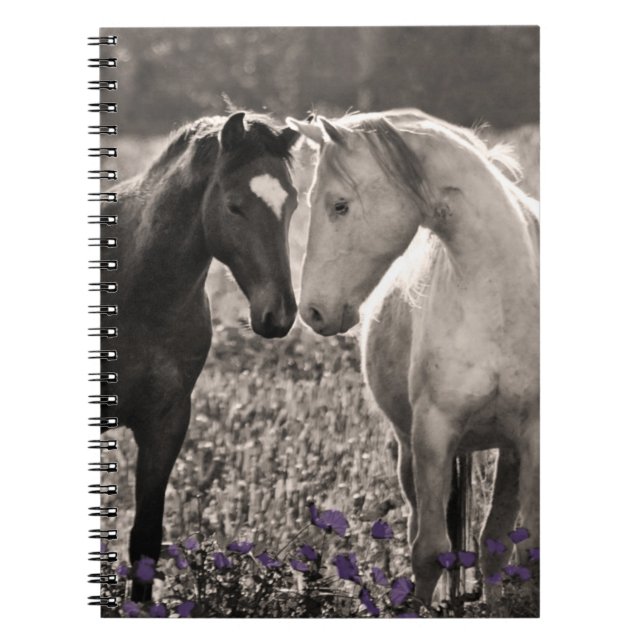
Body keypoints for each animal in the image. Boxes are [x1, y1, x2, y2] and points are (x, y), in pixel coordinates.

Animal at [286, 110, 539, 607]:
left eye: (339, 205)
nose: (313, 312)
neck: (500, 297)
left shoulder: (531, 437)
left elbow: (522, 544)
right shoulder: (433, 434)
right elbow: (428, 551)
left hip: (507, 451)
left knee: (494, 545)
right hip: (409, 450)